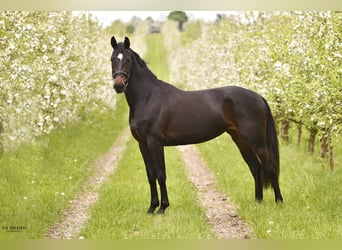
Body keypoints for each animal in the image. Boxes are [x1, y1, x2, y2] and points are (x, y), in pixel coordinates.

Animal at [110, 36, 284, 214]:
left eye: (128, 59)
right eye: (112, 59)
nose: (118, 85)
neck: (148, 97)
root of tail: (258, 97)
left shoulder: (155, 143)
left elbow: (161, 174)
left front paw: (162, 208)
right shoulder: (143, 144)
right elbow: (151, 175)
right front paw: (151, 208)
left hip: (257, 142)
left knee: (270, 166)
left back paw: (279, 201)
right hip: (240, 140)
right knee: (256, 168)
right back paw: (258, 202)